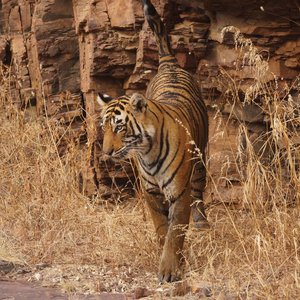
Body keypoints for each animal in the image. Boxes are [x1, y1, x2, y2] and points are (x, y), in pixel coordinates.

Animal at [96, 0, 209, 282]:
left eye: (119, 127)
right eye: (104, 127)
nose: (106, 153)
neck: (147, 152)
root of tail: (170, 64)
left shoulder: (180, 192)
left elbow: (175, 232)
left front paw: (169, 270)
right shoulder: (151, 193)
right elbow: (162, 229)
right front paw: (167, 256)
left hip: (200, 158)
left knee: (200, 191)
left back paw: (203, 223)